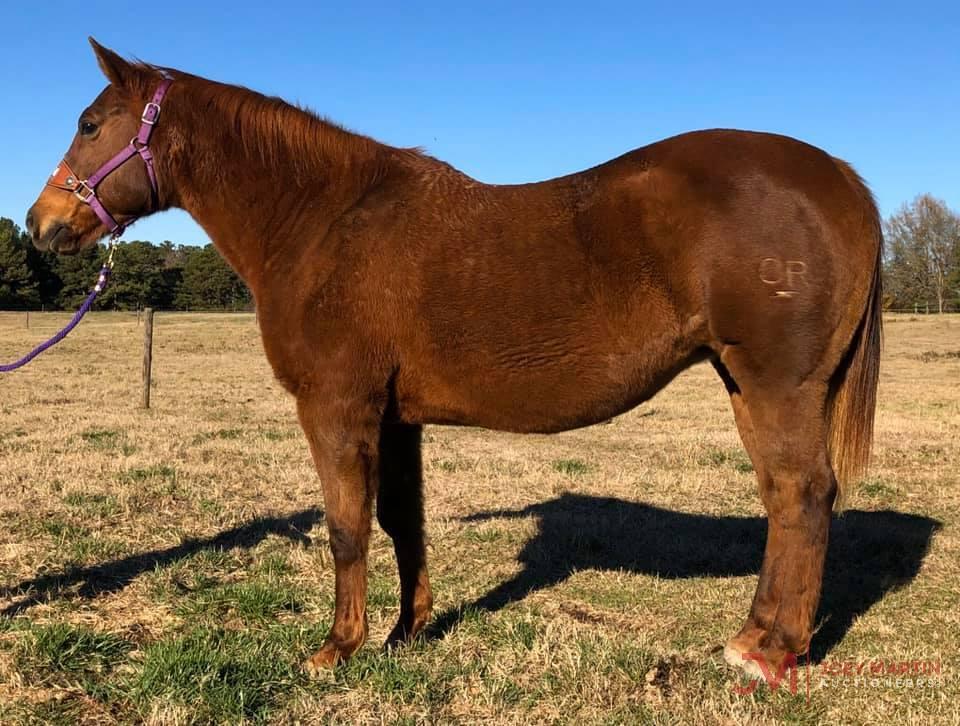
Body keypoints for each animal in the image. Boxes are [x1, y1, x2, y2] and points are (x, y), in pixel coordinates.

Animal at [26, 39, 884, 680]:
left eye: (92, 122)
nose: (41, 224)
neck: (325, 221)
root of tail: (839, 176)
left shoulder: (337, 407)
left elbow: (347, 527)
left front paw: (335, 649)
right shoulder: (396, 417)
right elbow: (402, 521)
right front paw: (406, 632)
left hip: (778, 384)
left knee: (804, 496)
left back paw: (769, 652)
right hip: (745, 382)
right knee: (784, 498)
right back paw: (758, 636)